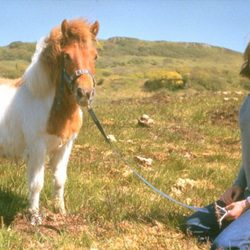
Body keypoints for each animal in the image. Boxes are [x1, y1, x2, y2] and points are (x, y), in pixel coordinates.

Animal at [0, 18, 99, 225]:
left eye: (95, 56)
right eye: (67, 56)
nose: (85, 93)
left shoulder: (65, 146)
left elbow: (60, 178)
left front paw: (60, 211)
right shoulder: (38, 148)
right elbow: (36, 183)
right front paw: (34, 217)